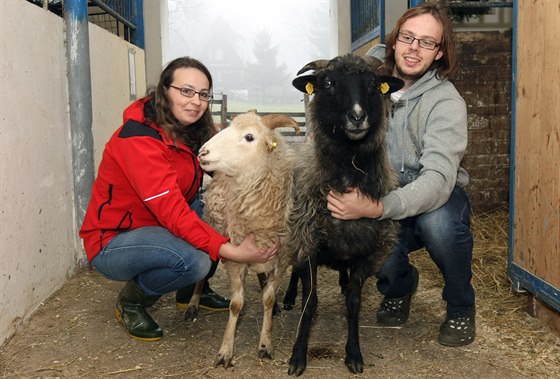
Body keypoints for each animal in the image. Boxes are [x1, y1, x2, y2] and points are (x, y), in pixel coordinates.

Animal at [192, 112, 298, 368]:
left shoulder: (282, 259)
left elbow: (268, 298)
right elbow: (236, 304)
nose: (202, 152)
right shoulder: (235, 260)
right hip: (212, 227)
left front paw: (265, 343)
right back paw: (193, 304)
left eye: (249, 137)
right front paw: (225, 351)